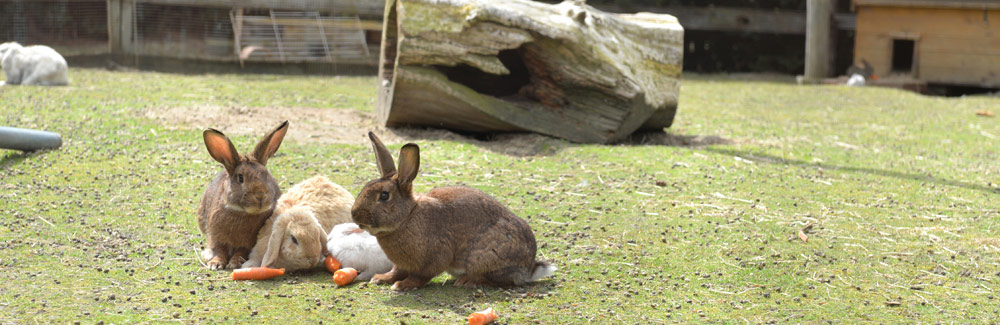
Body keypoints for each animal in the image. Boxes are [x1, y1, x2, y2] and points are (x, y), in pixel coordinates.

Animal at [196, 120, 288, 270]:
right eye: (240, 178)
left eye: (266, 175)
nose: (260, 196)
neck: (241, 212)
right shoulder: (216, 236)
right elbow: (219, 249)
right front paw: (215, 264)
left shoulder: (249, 243)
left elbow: (241, 251)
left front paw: (234, 263)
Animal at [350, 131, 556, 288]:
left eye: (384, 196)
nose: (354, 215)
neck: (407, 217)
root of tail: (530, 268)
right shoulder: (402, 263)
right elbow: (396, 271)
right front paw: (381, 279)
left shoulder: (436, 255)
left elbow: (421, 275)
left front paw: (402, 285)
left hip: (485, 256)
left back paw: (466, 281)